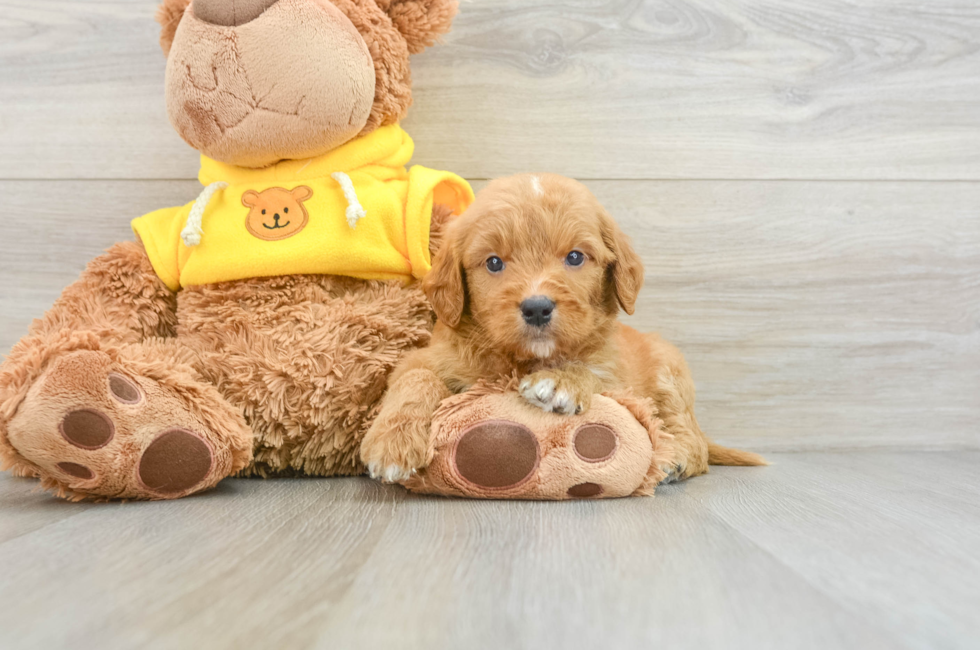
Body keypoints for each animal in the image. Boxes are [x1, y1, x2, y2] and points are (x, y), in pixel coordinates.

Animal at [360, 172, 764, 480]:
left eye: (574, 257)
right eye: (493, 263)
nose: (537, 308)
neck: (524, 359)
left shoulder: (617, 377)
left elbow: (591, 373)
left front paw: (561, 382)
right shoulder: (426, 358)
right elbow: (416, 380)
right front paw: (393, 442)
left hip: (671, 370)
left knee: (691, 437)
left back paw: (677, 457)